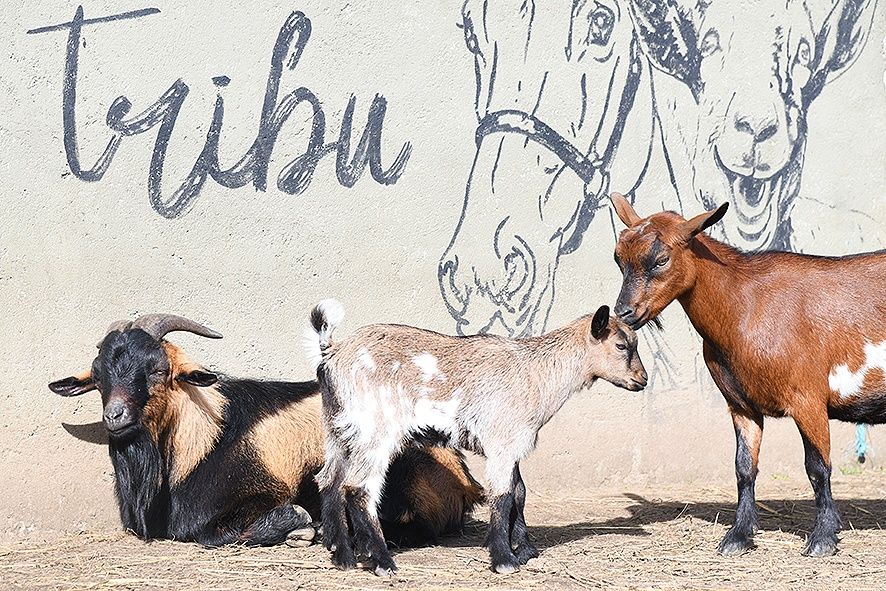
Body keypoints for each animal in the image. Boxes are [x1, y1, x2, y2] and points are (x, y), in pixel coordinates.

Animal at [49, 314, 483, 547]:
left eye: (157, 370)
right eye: (99, 376)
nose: (115, 416)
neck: (203, 438)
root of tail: (465, 478)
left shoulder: (252, 496)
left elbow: (215, 531)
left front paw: (301, 525)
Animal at [306, 300, 647, 575]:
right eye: (621, 345)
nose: (642, 379)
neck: (536, 372)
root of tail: (334, 352)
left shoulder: (510, 445)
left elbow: (519, 492)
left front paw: (523, 549)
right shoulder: (503, 443)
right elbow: (503, 495)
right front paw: (504, 560)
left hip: (339, 430)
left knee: (330, 481)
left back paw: (344, 556)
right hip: (376, 432)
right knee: (359, 488)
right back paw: (381, 561)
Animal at [609, 192, 886, 557]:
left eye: (661, 259)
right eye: (618, 258)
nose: (624, 312)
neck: (746, 306)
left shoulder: (808, 399)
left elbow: (818, 467)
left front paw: (823, 538)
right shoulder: (741, 405)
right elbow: (744, 468)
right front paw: (738, 536)